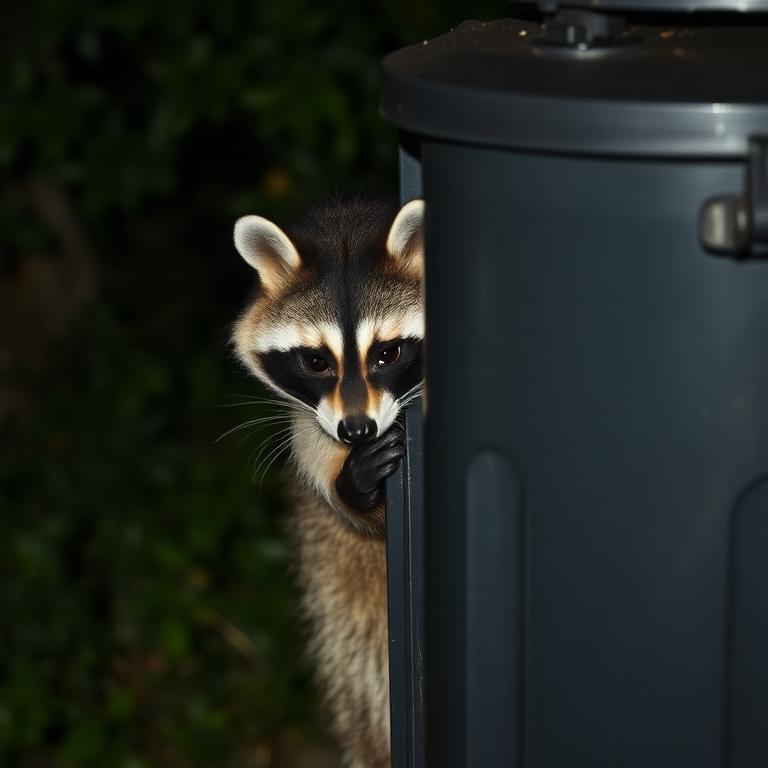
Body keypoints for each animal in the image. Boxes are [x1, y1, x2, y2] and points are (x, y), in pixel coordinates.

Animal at [231, 197, 424, 768]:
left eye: (387, 353)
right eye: (316, 361)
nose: (356, 430)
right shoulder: (309, 420)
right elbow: (317, 453)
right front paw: (355, 488)